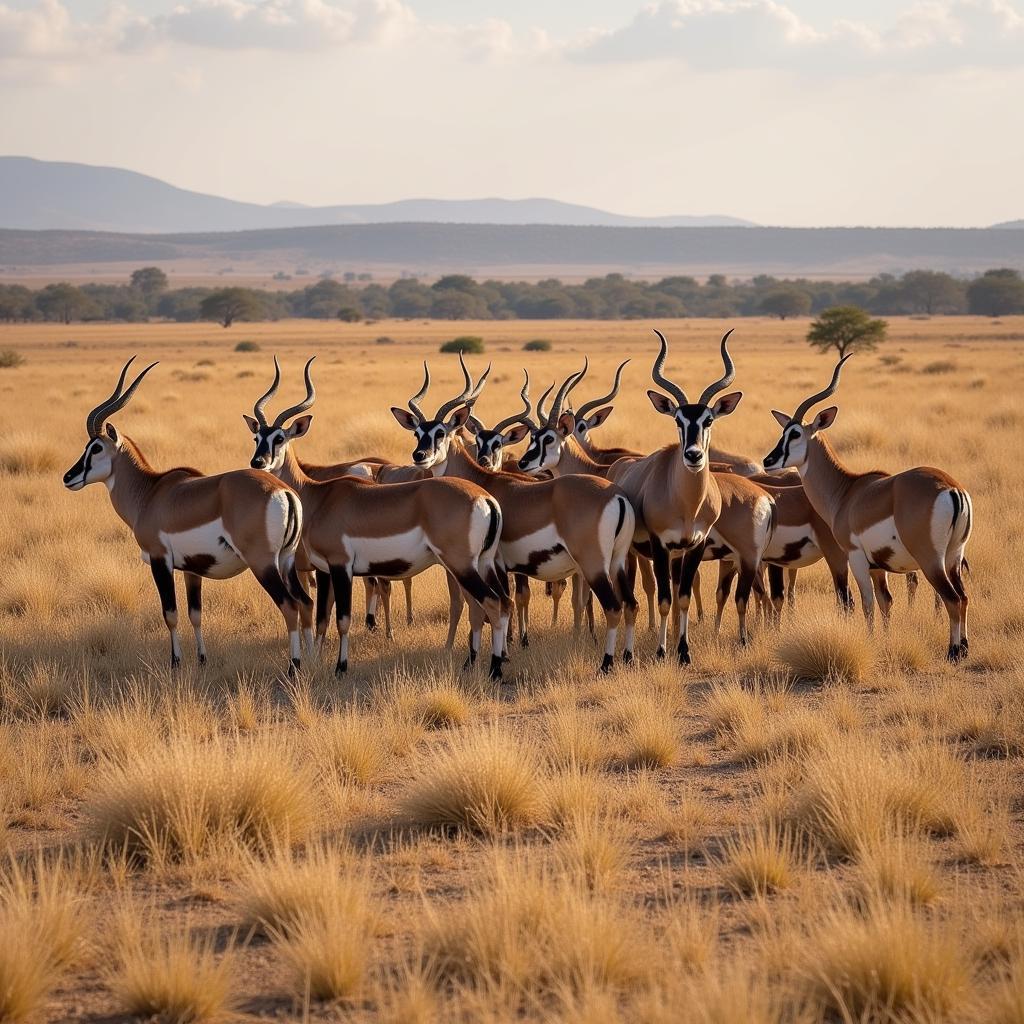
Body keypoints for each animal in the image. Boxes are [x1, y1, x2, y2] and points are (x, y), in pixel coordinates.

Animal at [62, 358, 311, 671]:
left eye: (96, 447)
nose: (68, 477)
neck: (151, 492)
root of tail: (283, 491)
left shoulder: (160, 561)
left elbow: (170, 613)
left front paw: (176, 662)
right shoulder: (192, 569)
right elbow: (195, 613)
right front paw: (202, 659)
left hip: (263, 564)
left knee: (289, 605)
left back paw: (294, 667)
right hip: (287, 560)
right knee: (305, 602)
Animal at [242, 360, 507, 679]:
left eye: (279, 438)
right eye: (257, 437)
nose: (258, 462)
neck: (318, 495)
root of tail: (486, 498)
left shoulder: (340, 566)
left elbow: (342, 619)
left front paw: (340, 667)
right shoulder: (326, 570)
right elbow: (321, 618)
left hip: (461, 565)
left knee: (491, 603)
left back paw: (495, 670)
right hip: (483, 563)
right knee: (498, 604)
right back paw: (483, 663)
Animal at [389, 360, 634, 671]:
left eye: (441, 433)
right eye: (417, 433)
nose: (420, 456)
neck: (483, 482)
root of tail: (616, 495)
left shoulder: (494, 564)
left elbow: (492, 606)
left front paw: (494, 656)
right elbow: (500, 605)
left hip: (594, 566)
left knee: (613, 606)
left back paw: (606, 664)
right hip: (617, 562)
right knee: (631, 604)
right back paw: (628, 656)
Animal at [598, 329, 770, 663]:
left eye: (709, 420)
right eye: (678, 420)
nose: (693, 455)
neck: (687, 504)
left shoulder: (694, 547)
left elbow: (684, 598)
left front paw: (684, 651)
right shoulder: (660, 546)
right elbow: (665, 599)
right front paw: (662, 651)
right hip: (630, 553)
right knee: (630, 597)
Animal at [765, 358, 970, 663]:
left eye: (796, 433)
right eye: (783, 431)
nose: (768, 461)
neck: (847, 491)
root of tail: (951, 487)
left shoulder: (855, 557)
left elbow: (867, 603)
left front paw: (872, 641)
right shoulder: (877, 566)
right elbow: (886, 602)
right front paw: (884, 640)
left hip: (931, 561)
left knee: (952, 599)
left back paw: (953, 652)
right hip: (954, 557)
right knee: (964, 597)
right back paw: (965, 649)